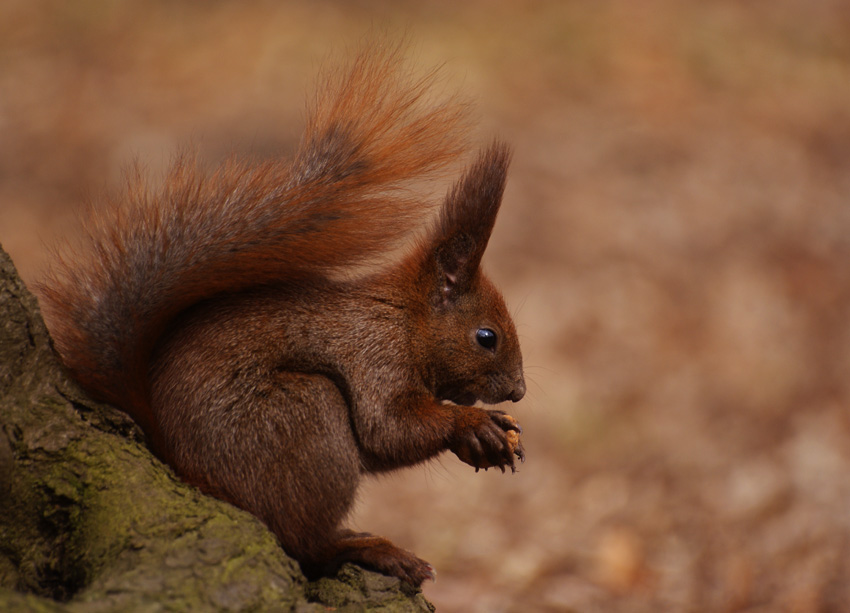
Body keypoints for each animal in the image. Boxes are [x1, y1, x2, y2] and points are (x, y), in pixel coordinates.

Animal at [38, 43, 524, 584]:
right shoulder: (375, 355)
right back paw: (367, 548)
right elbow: (389, 429)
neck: (404, 319)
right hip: (302, 418)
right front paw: (471, 424)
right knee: (301, 542)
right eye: (486, 337)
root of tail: (186, 468)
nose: (519, 391)